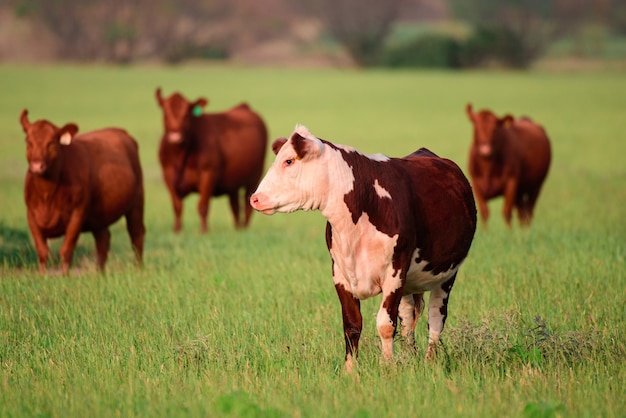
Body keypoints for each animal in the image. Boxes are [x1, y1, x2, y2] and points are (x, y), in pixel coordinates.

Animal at [19, 109, 145, 276]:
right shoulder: (31, 216)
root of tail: (120, 131)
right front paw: (41, 276)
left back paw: (139, 270)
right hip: (99, 215)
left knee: (136, 235)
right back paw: (99, 273)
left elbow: (66, 250)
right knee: (103, 240)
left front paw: (65, 276)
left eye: (51, 143)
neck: (47, 194)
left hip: (136, 202)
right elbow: (42, 251)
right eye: (28, 142)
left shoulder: (77, 214)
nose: (37, 166)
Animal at [156, 88, 268, 233]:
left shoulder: (208, 174)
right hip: (233, 183)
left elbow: (203, 206)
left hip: (254, 178)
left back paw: (245, 229)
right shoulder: (168, 175)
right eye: (165, 112)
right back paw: (237, 229)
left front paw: (203, 231)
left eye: (187, 114)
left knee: (247, 205)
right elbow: (177, 206)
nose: (175, 136)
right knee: (235, 206)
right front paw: (177, 231)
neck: (180, 155)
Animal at [249, 125, 472, 372]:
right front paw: (350, 371)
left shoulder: (395, 272)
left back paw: (429, 362)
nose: (255, 198)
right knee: (407, 320)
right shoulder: (340, 274)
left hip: (447, 275)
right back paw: (411, 358)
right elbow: (352, 324)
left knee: (435, 320)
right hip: (410, 283)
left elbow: (385, 324)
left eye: (288, 161)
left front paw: (388, 368)